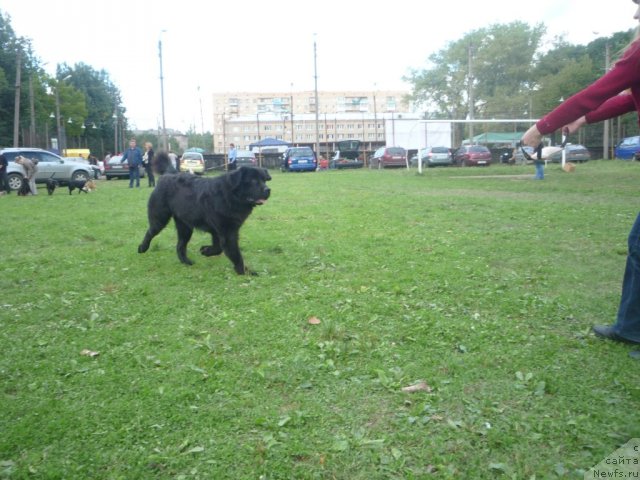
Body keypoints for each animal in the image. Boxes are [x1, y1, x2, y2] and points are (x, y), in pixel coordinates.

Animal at [138, 168, 270, 274]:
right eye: (253, 181)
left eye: (264, 180)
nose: (268, 189)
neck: (229, 196)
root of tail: (164, 176)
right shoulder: (227, 232)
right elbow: (235, 254)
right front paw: (245, 272)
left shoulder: (219, 231)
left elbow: (218, 248)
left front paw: (205, 250)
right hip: (160, 218)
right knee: (150, 232)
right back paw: (142, 248)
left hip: (185, 227)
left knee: (180, 245)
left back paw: (186, 262)